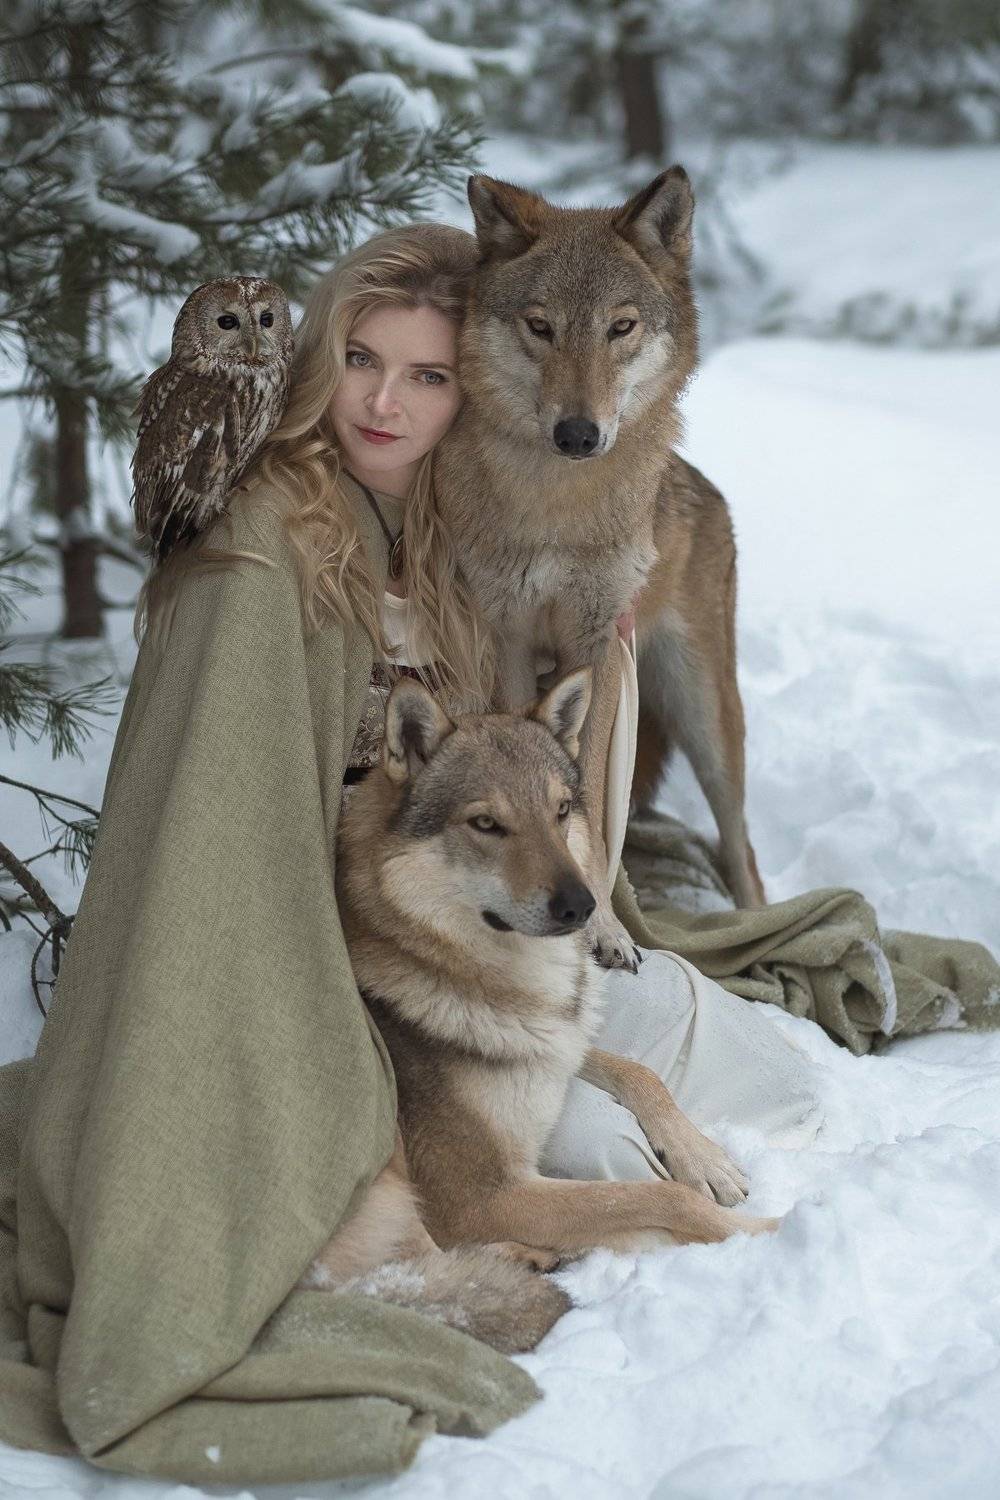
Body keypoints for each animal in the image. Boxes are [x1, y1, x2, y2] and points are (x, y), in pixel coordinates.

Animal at [315, 669, 774, 1279]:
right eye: (487, 824)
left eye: (559, 811)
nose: (583, 905)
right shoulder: (481, 1197)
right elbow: (659, 1196)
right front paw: (770, 1231)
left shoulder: (559, 1049)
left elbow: (640, 1075)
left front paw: (704, 1159)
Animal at [434, 166, 764, 971]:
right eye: (541, 326)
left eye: (621, 327)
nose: (578, 433)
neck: (559, 505)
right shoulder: (510, 639)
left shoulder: (600, 647)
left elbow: (586, 797)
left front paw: (608, 930)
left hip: (710, 720)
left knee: (741, 850)